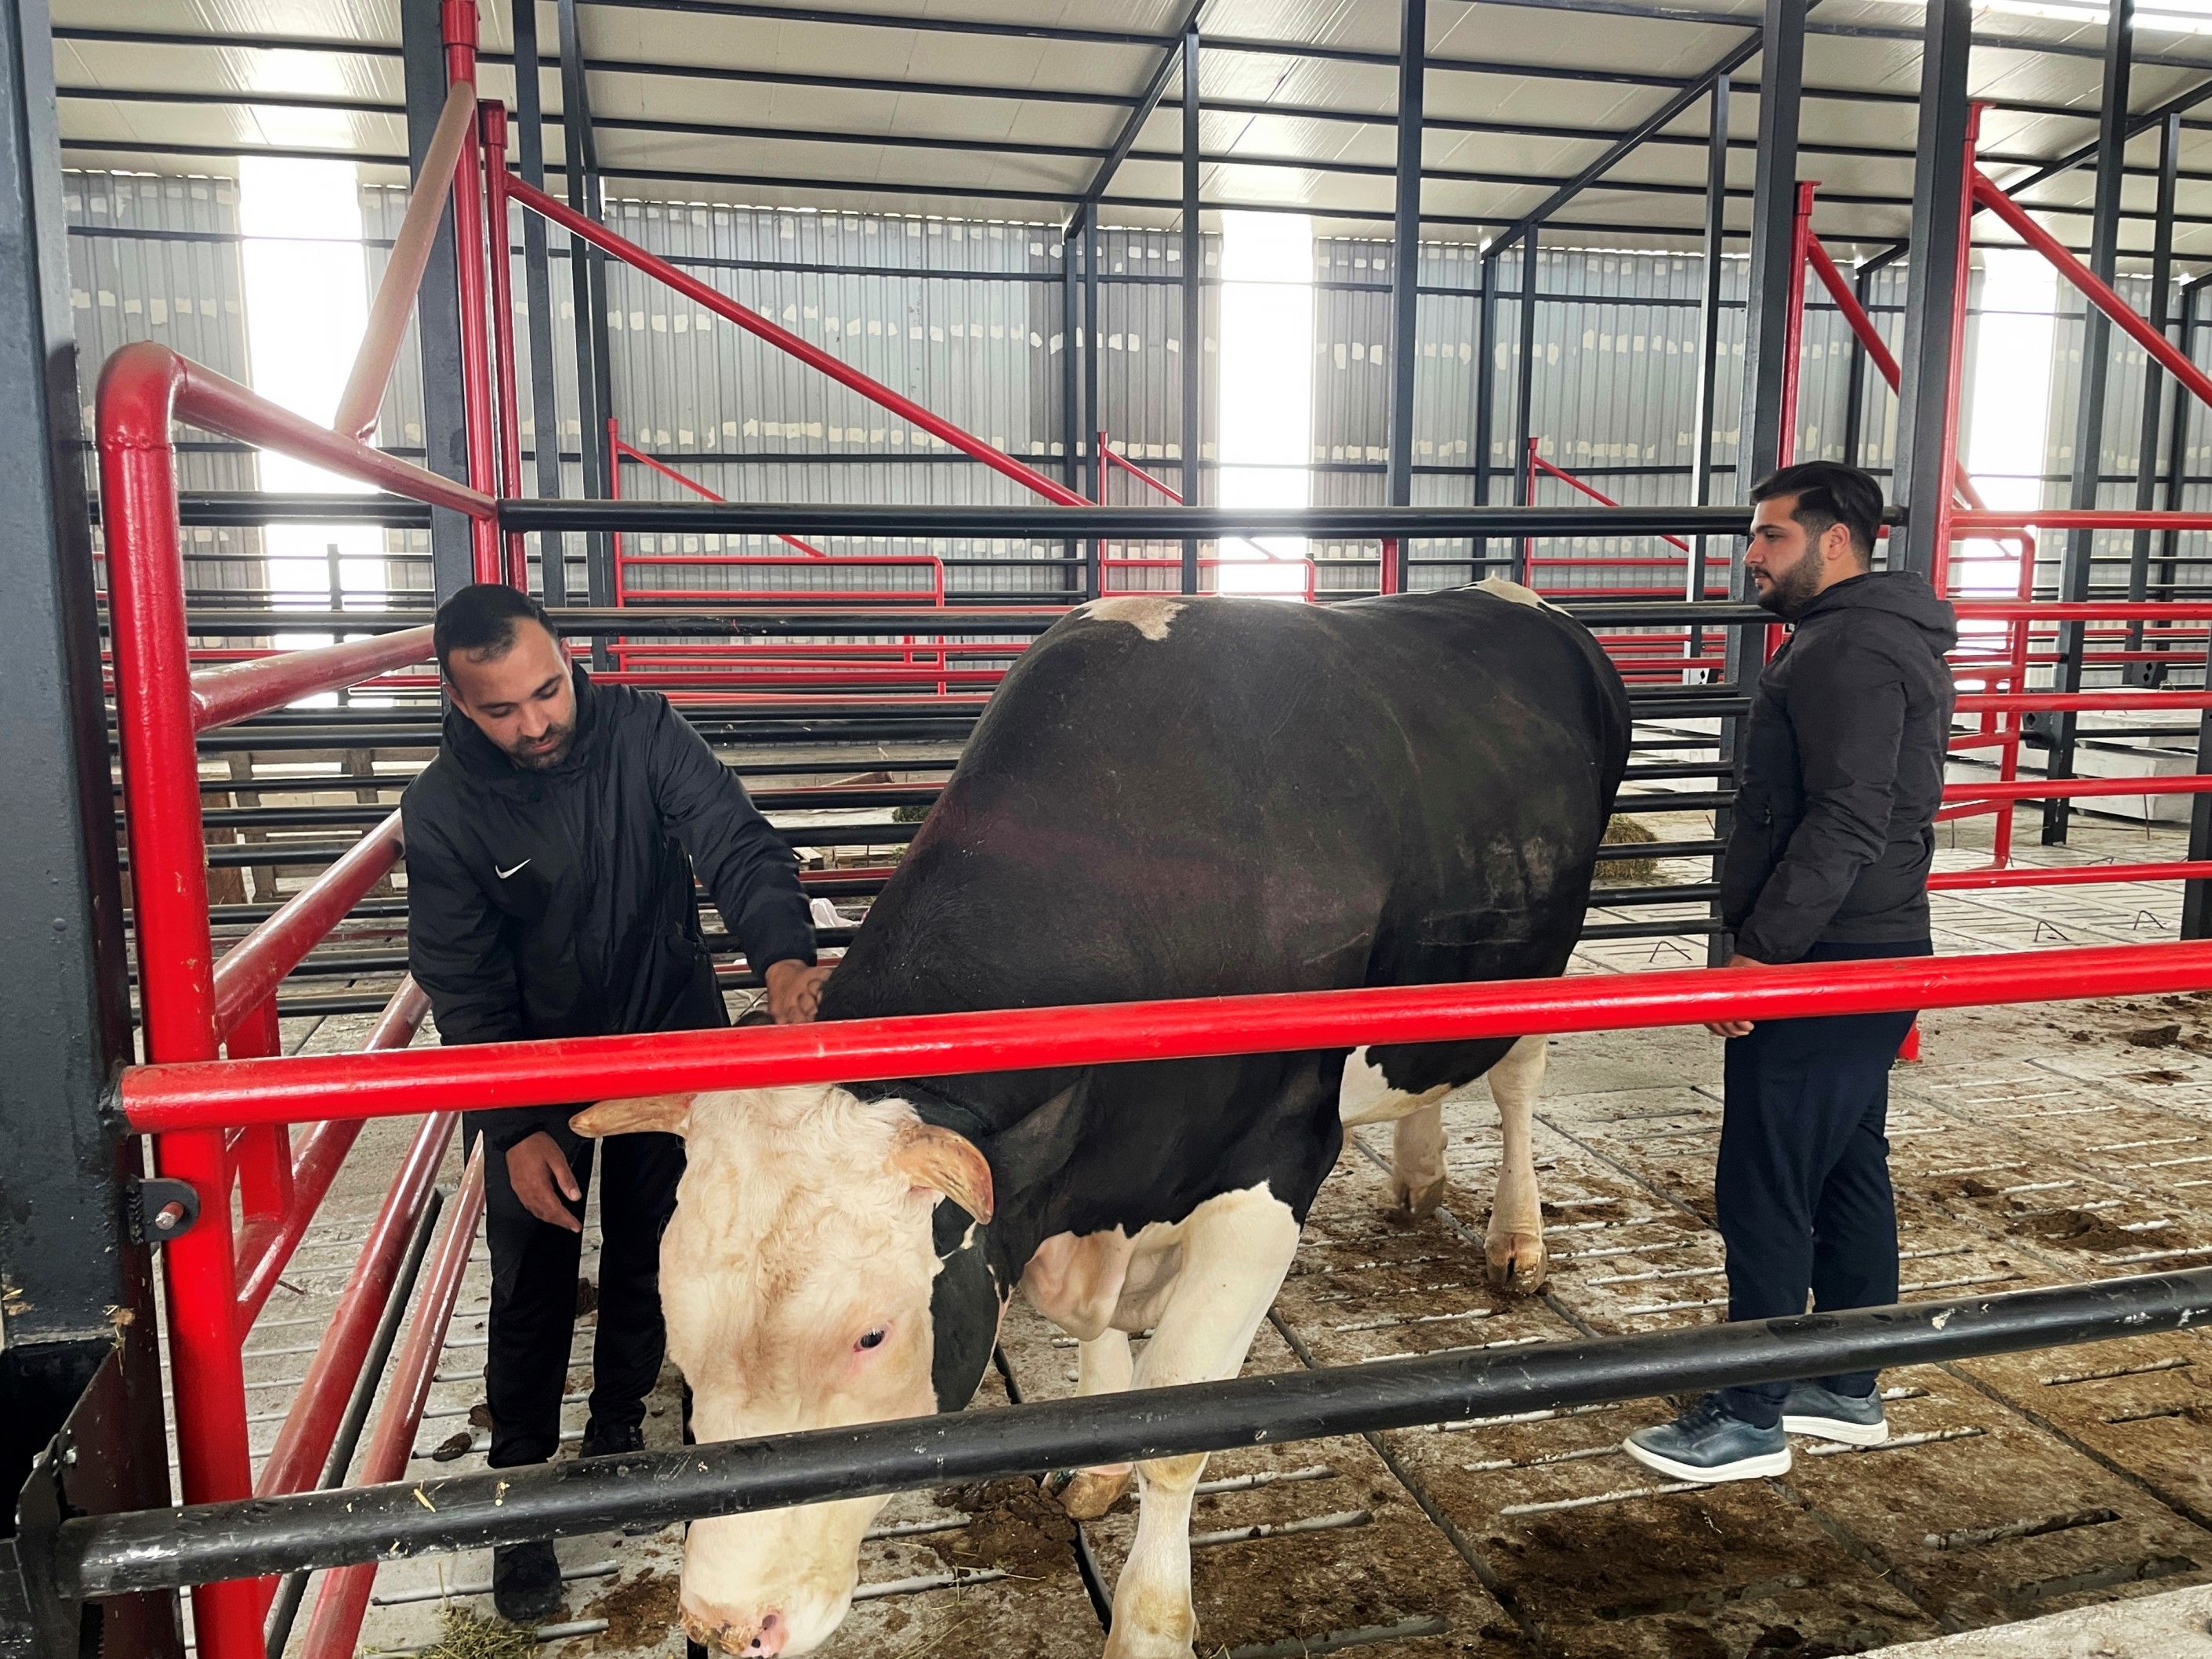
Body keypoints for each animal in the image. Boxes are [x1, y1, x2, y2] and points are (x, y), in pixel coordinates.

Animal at [579, 579, 1637, 1654]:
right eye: (678, 1315)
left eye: (871, 1334)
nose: (719, 1620)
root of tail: (1509, 595)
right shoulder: (1064, 1192)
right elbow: (1099, 1360)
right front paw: (1091, 1463)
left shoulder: (1268, 1177)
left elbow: (1176, 1432)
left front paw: (1148, 1624)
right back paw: (1418, 1173)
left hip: (1542, 962)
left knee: (1515, 1084)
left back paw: (1515, 1239)